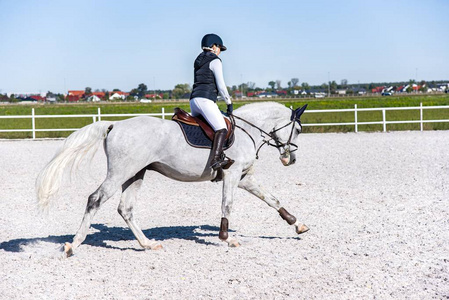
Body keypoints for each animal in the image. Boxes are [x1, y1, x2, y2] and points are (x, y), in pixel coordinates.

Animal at [36, 102, 308, 256]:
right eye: (298, 129)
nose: (291, 159)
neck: (247, 130)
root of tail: (116, 125)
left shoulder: (243, 177)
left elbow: (271, 199)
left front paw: (297, 224)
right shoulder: (232, 174)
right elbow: (227, 205)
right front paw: (227, 238)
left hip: (135, 174)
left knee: (125, 208)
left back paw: (148, 244)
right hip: (121, 172)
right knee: (95, 199)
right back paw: (73, 245)